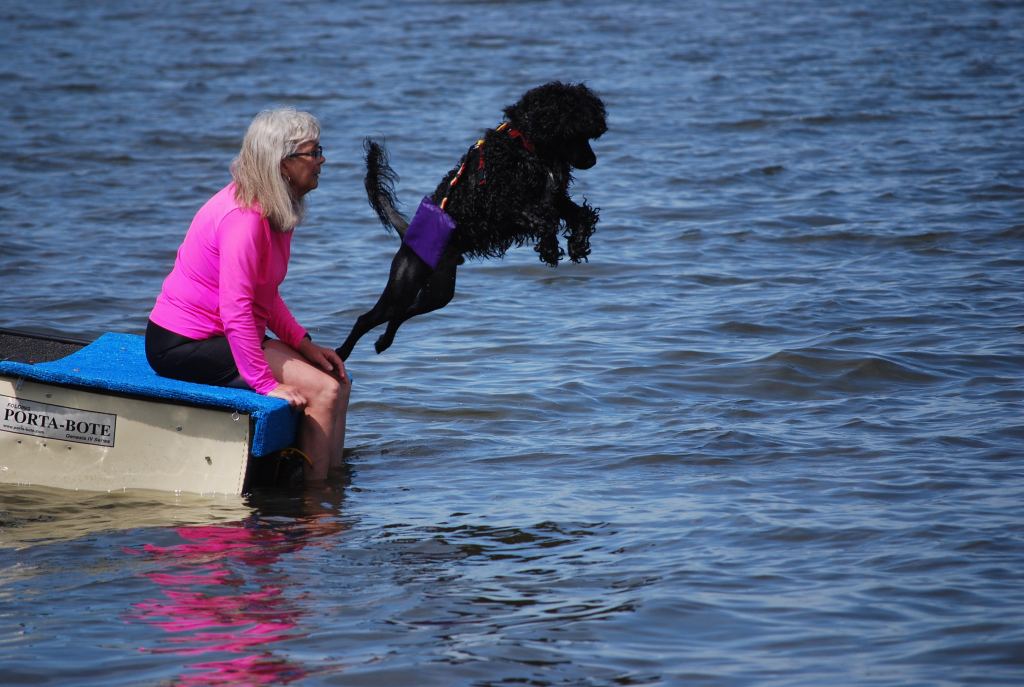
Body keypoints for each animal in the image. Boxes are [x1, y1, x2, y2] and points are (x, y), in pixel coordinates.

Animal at [336, 81, 607, 360]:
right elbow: (545, 221)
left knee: (401, 314)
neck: (526, 148)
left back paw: (383, 341)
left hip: (438, 291)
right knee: (367, 318)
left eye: (589, 133)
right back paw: (342, 353)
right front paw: (551, 248)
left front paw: (577, 245)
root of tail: (407, 234)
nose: (592, 160)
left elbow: (579, 215)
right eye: (574, 132)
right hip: (404, 284)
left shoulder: (554, 198)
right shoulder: (501, 205)